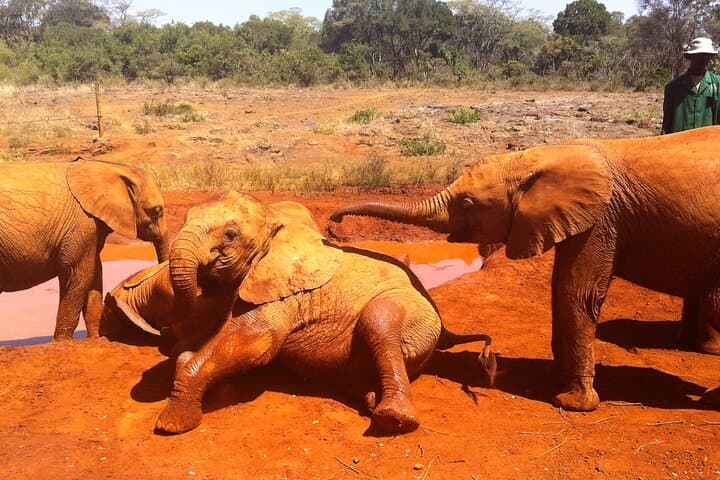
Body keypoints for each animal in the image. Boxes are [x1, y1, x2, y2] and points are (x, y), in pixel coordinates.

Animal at [0, 157, 168, 340]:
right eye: (156, 211)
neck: (107, 167)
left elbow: (95, 275)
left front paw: (96, 339)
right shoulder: (82, 223)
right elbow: (79, 274)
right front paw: (62, 342)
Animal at [152, 190, 495, 434]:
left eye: (230, 235)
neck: (275, 218)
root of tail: (446, 331)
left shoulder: (290, 292)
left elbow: (258, 342)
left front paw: (172, 424)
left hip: (413, 314)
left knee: (380, 320)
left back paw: (394, 419)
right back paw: (370, 396)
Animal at [330, 125, 720, 413]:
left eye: (467, 203)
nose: (334, 223)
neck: (542, 155)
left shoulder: (603, 218)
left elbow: (577, 292)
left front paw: (572, 402)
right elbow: (560, 287)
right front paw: (557, 377)